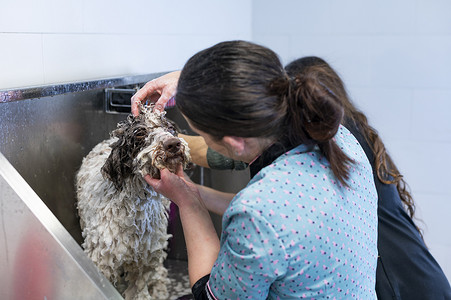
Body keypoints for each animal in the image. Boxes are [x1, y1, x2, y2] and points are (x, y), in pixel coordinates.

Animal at [76, 104, 191, 298]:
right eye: (139, 134)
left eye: (169, 127)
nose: (173, 144)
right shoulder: (102, 260)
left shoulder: (144, 259)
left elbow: (138, 290)